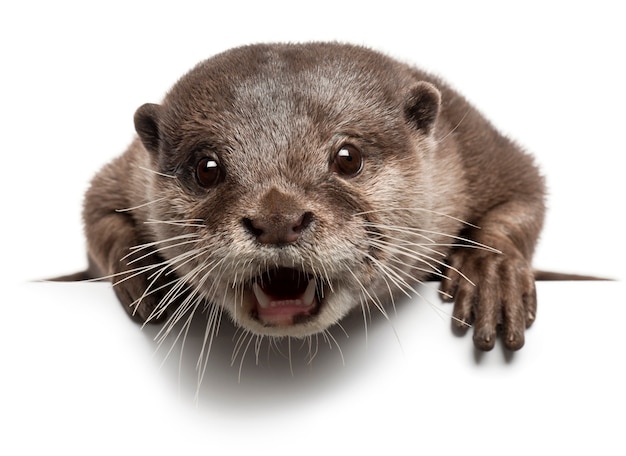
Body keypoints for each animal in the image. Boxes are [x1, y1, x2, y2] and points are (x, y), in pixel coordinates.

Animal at [67, 41, 544, 352]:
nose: (278, 219)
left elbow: (524, 195)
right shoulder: (126, 173)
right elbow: (96, 210)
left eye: (348, 157)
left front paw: (490, 271)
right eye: (207, 168)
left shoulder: (471, 147)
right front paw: (144, 270)